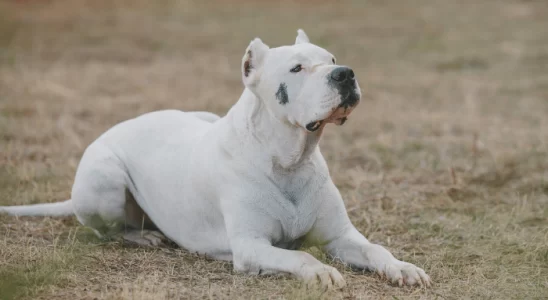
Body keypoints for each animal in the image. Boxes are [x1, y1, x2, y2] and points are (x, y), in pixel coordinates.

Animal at [0, 29, 430, 288]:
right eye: (297, 68)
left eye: (333, 58)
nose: (346, 74)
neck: (288, 159)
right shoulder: (251, 247)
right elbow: (301, 258)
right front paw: (322, 271)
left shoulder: (342, 236)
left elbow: (376, 249)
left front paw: (403, 267)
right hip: (102, 181)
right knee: (104, 229)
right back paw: (143, 235)